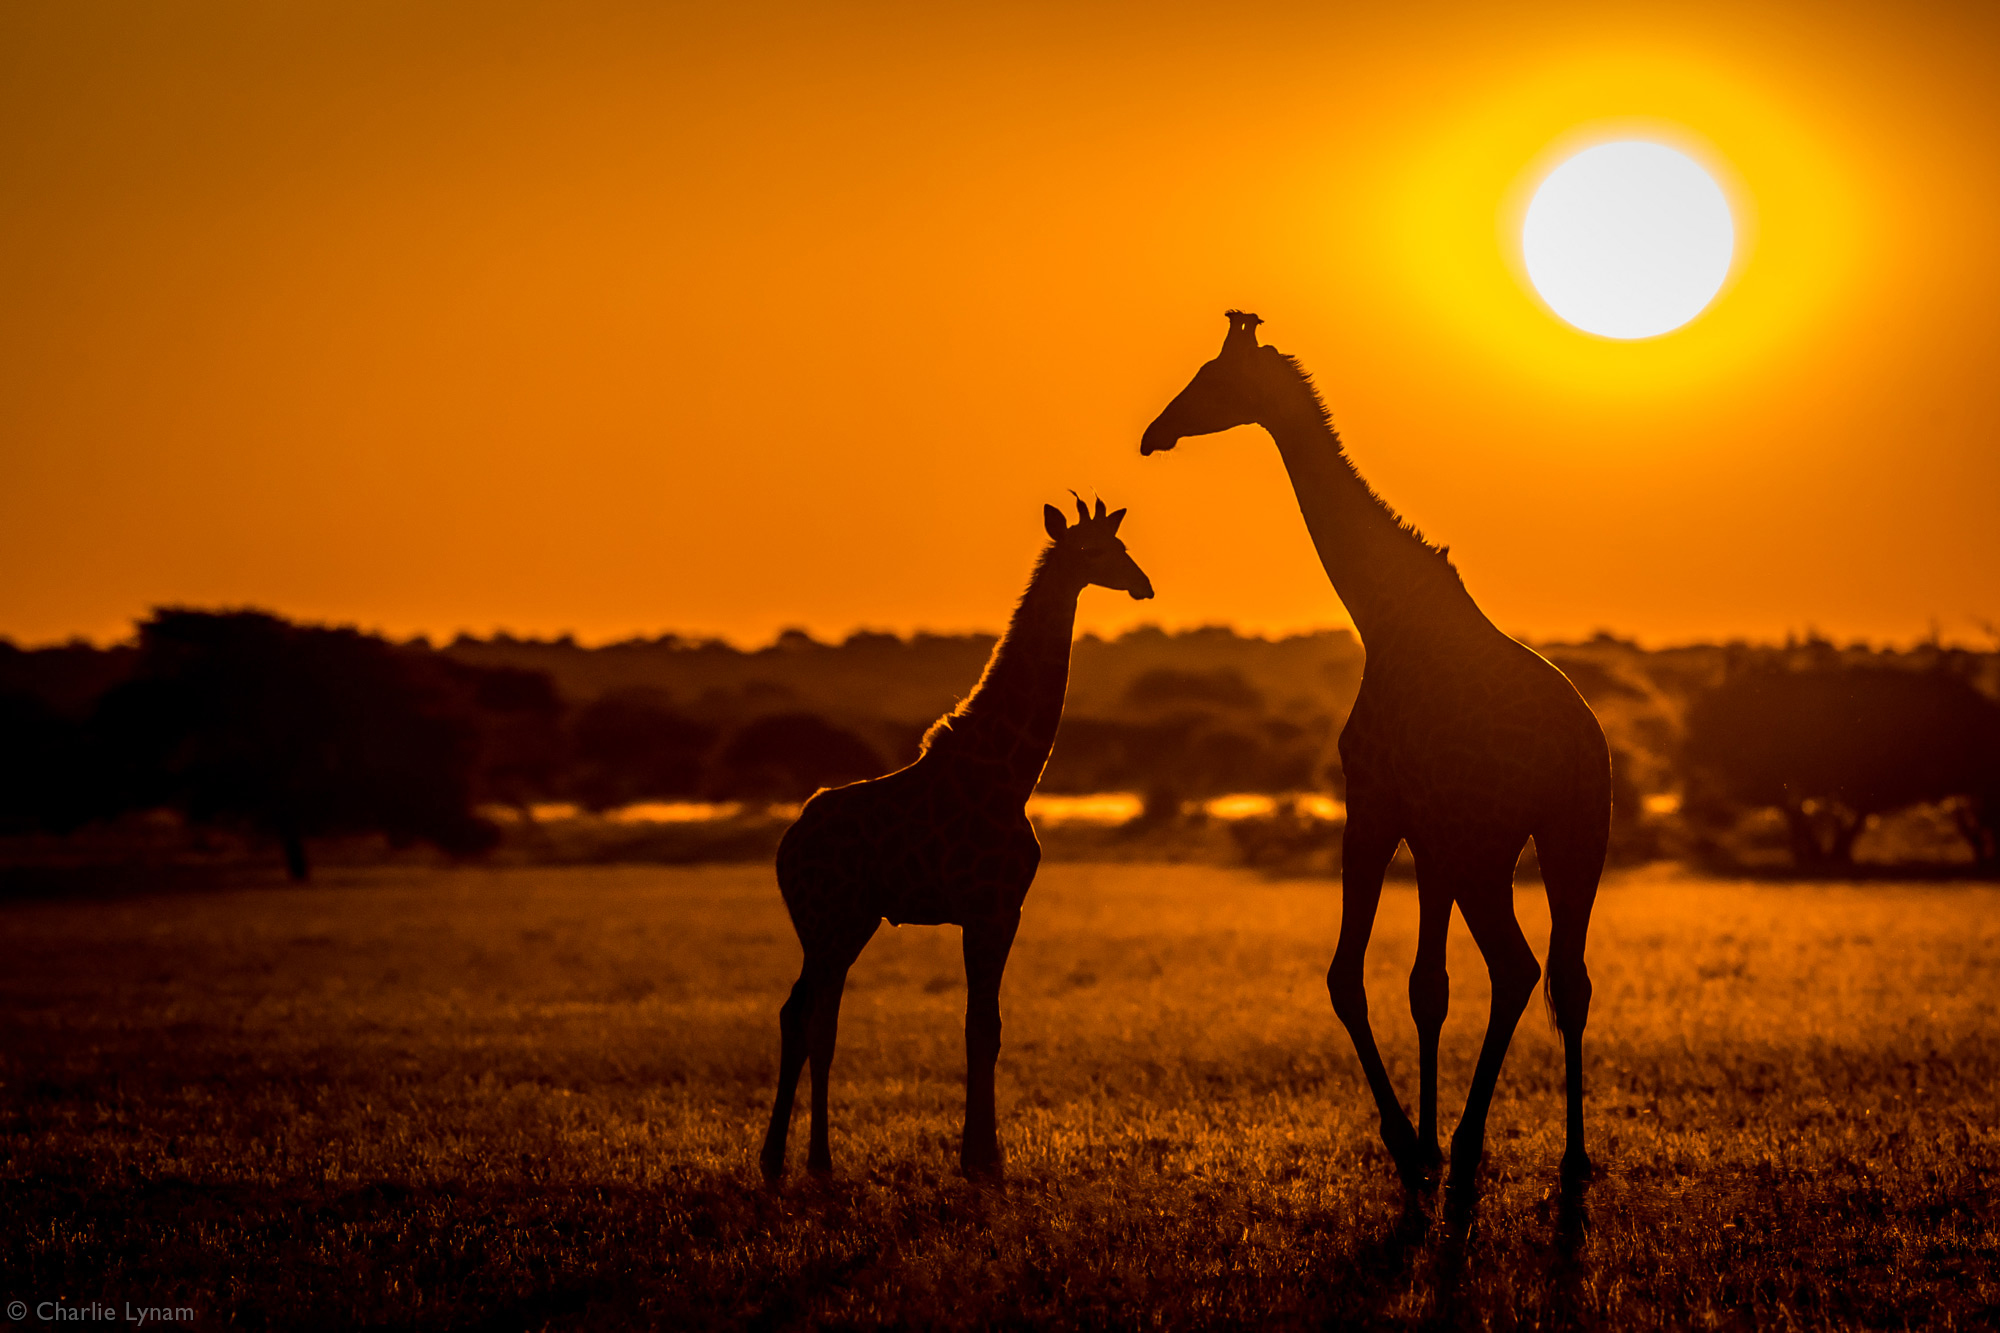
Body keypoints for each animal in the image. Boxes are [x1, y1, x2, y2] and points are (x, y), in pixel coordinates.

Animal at [756, 492, 1152, 1176]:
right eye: (1093, 550)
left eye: (1121, 546)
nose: (1143, 584)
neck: (1011, 772)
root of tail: (788, 845)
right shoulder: (991, 908)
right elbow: (981, 1025)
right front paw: (981, 1160)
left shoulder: (999, 909)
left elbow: (984, 1024)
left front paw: (981, 1155)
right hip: (830, 919)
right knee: (812, 1019)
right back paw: (808, 1161)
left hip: (845, 923)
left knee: (803, 1014)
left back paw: (789, 1160)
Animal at [1144, 312, 1608, 1184]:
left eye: (1212, 379)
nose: (1156, 432)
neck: (1380, 611)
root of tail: (1579, 750)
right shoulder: (1428, 833)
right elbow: (1427, 986)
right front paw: (1423, 1136)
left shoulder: (1378, 806)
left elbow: (1351, 977)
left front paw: (1408, 1140)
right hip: (1570, 842)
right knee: (1568, 976)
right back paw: (1570, 1158)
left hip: (1489, 847)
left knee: (1520, 966)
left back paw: (1471, 1144)